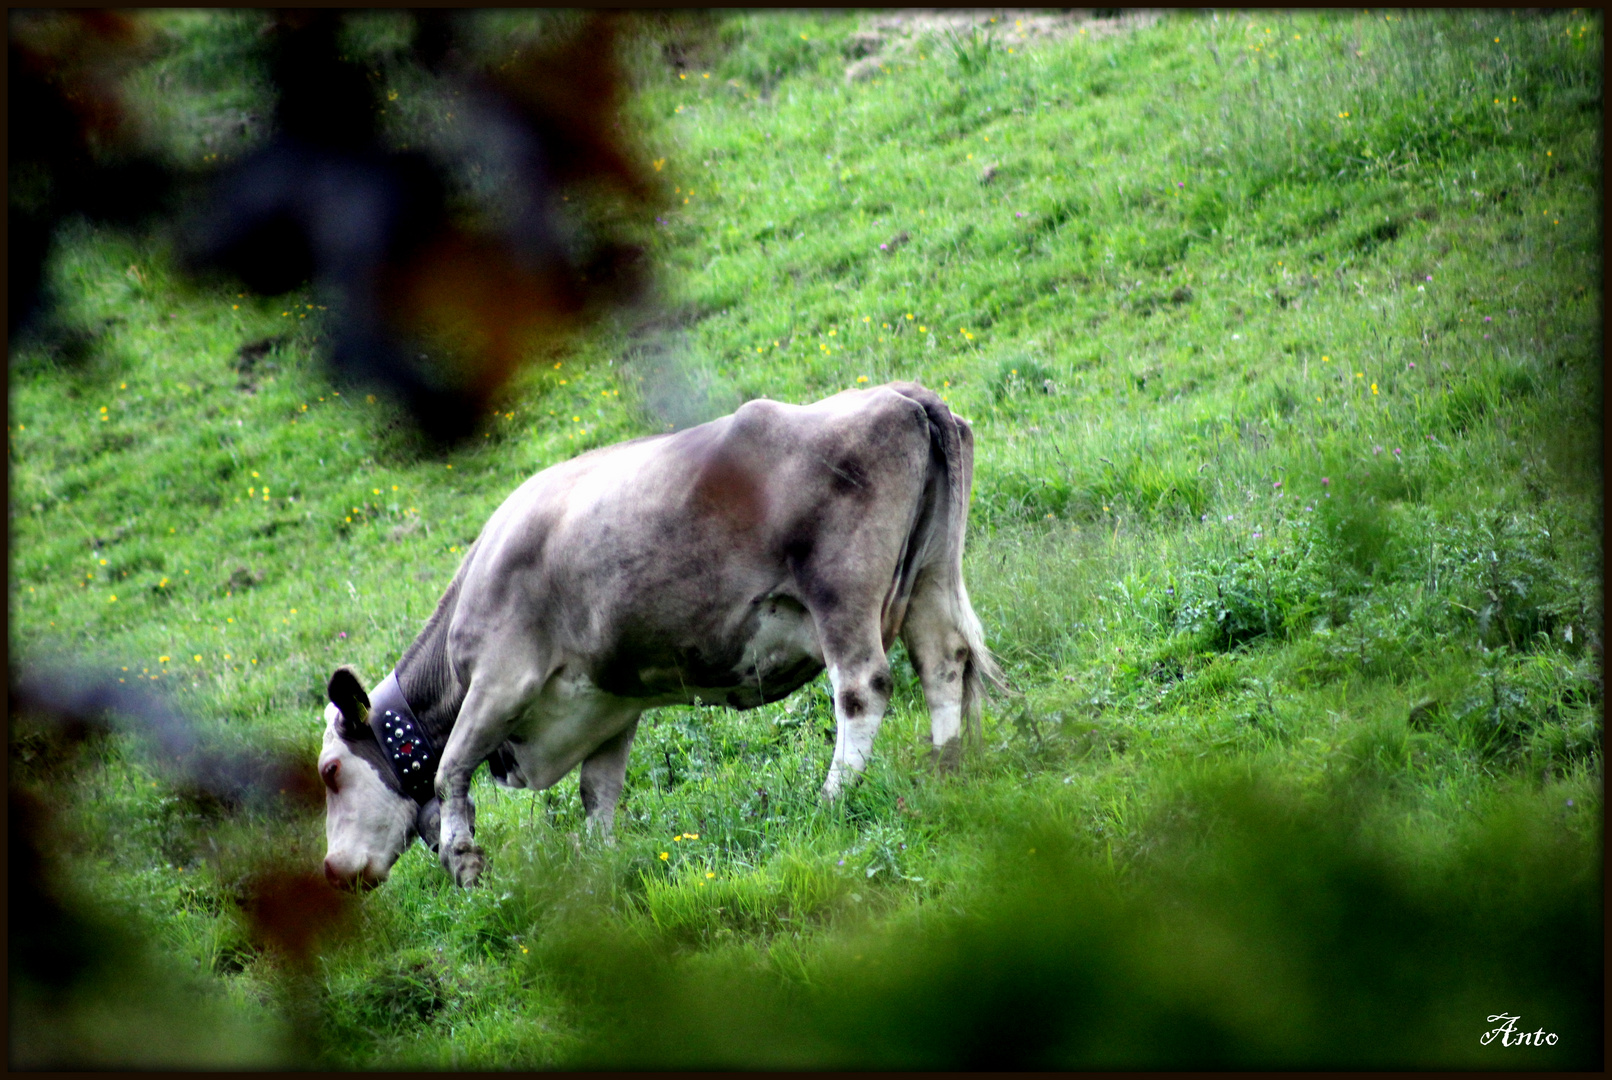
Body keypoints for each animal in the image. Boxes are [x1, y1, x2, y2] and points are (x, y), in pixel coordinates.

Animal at [314, 380, 992, 889]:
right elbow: (599, 792)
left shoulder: (500, 679)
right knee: (943, 661)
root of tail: (900, 393)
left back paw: (831, 798)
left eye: (330, 772)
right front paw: (597, 862)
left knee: (862, 687)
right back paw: (947, 766)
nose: (334, 871)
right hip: (932, 572)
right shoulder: (610, 705)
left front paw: (465, 864)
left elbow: (451, 766)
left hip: (841, 590)